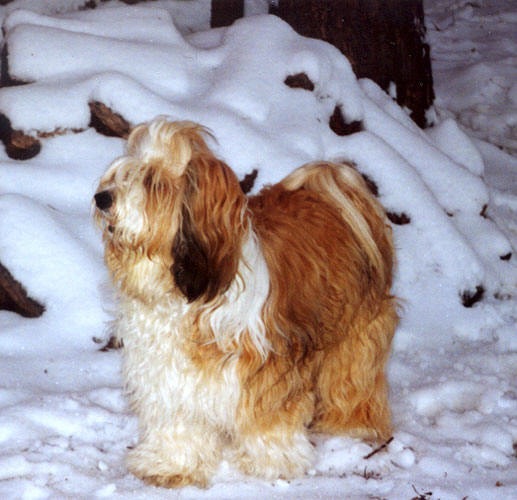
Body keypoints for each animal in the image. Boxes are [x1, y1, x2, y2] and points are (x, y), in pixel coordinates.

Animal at [93, 118, 400, 488]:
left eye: (153, 182)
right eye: (123, 172)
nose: (101, 198)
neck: (185, 292)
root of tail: (332, 187)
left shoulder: (266, 369)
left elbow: (268, 419)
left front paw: (271, 463)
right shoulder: (167, 371)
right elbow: (177, 419)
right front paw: (171, 464)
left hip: (355, 334)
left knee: (352, 380)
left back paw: (353, 426)